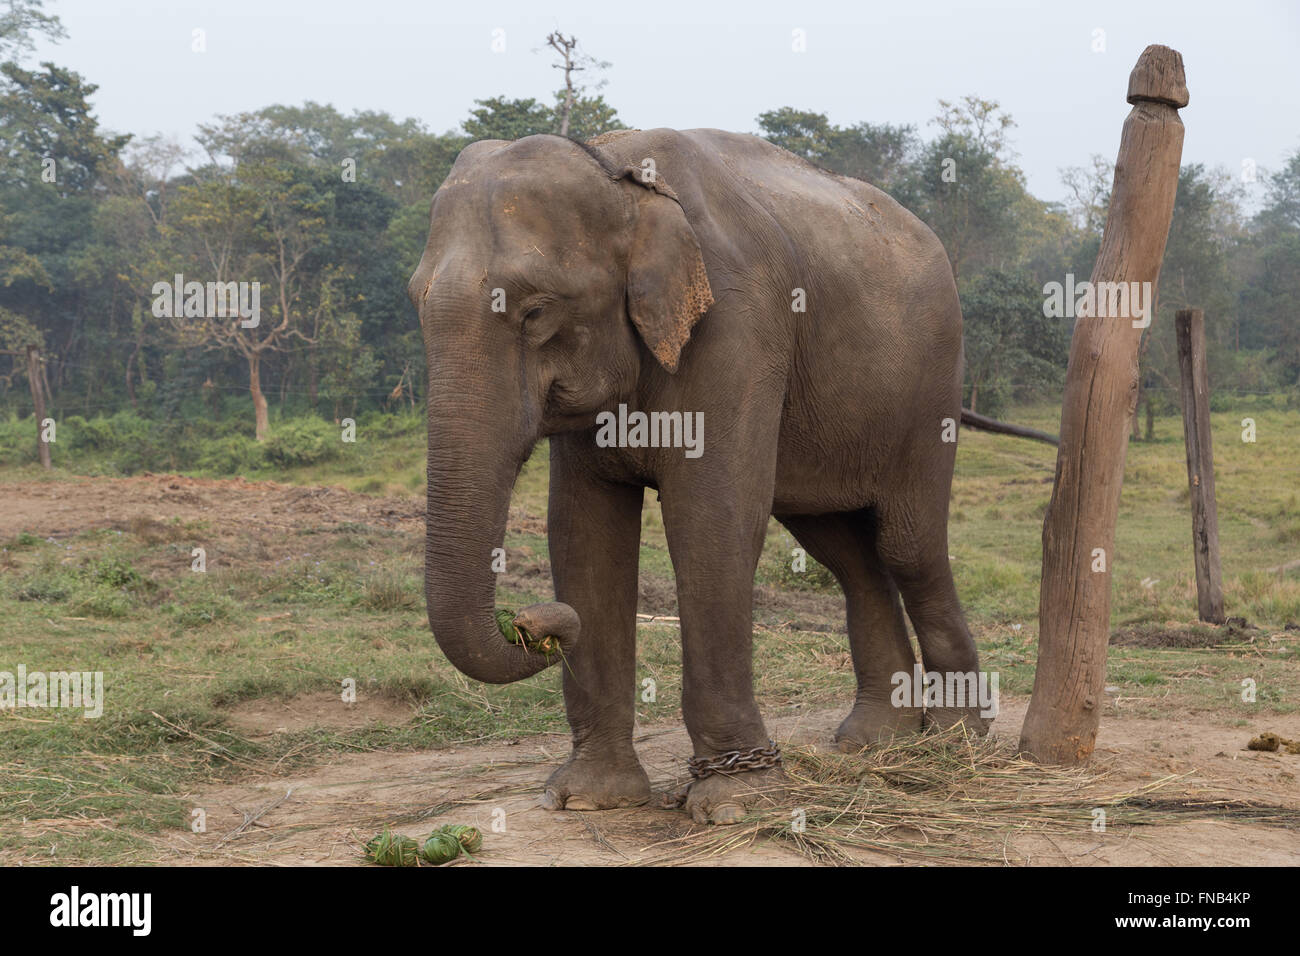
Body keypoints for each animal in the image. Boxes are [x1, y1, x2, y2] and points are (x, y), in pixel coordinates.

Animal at [410, 127, 987, 827]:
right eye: (415, 303)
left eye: (536, 311)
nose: (534, 626)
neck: (621, 175)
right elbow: (583, 530)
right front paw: (589, 797)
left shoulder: (738, 328)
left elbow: (709, 517)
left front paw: (738, 802)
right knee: (845, 553)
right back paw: (875, 740)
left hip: (931, 391)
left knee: (908, 546)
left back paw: (959, 738)